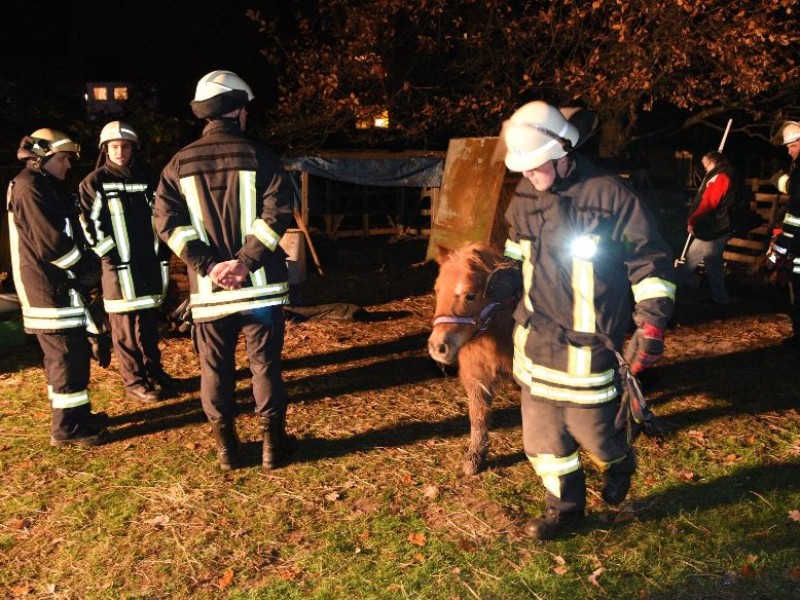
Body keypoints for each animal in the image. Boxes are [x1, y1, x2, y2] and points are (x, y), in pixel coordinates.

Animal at [428, 243, 516, 474]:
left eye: (470, 295)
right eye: (437, 289)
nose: (438, 347)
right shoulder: (476, 375)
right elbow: (478, 415)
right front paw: (475, 457)